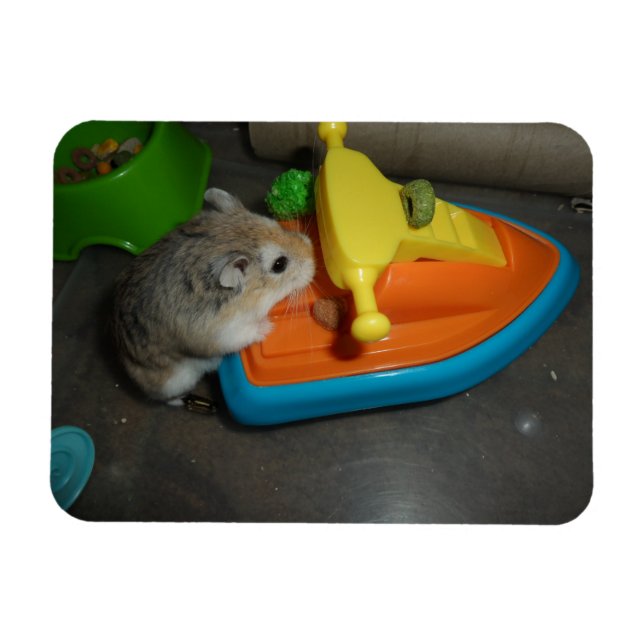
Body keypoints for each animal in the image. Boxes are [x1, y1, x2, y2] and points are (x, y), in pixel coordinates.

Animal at [111, 187, 315, 405]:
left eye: (276, 224)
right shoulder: (225, 332)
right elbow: (246, 333)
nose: (313, 255)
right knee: (166, 398)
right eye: (279, 264)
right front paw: (268, 326)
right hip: (175, 382)